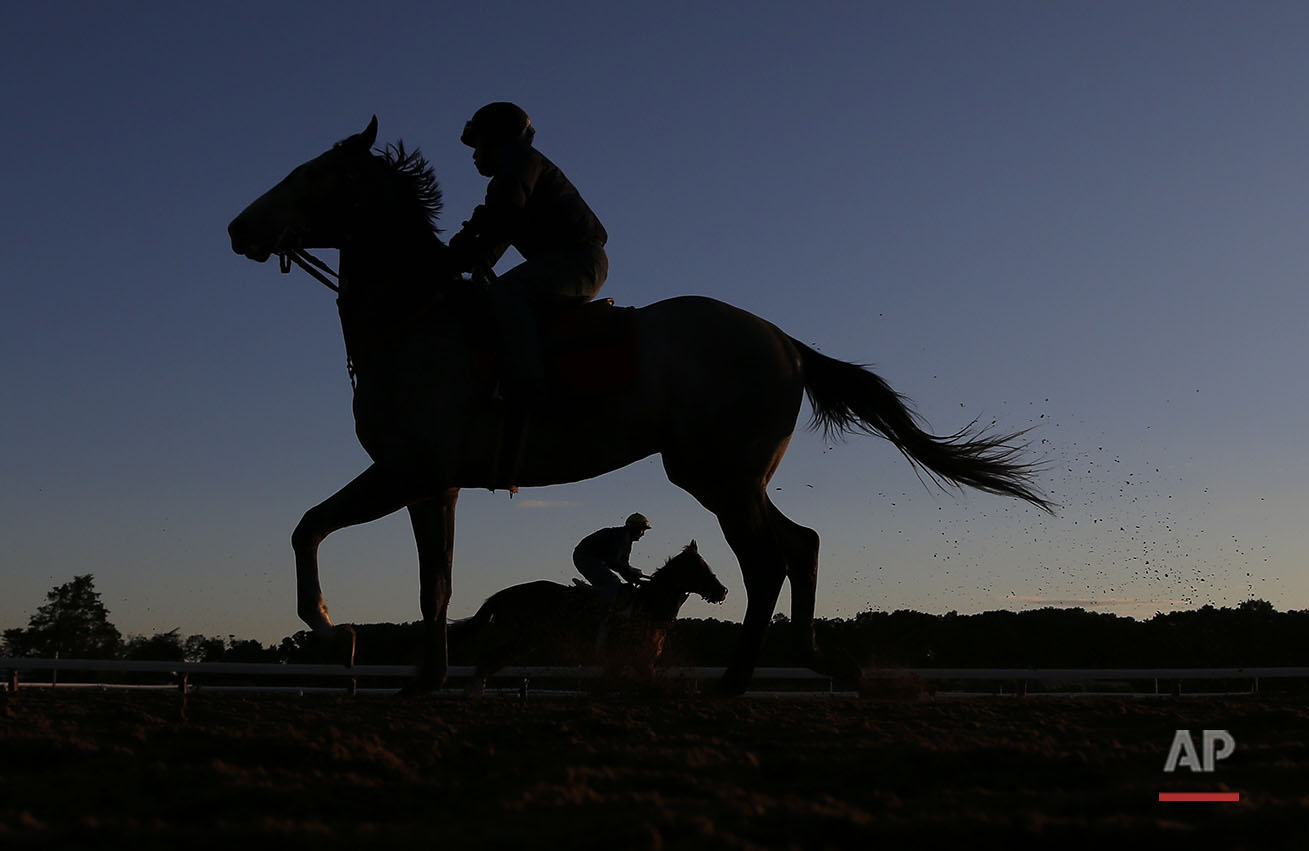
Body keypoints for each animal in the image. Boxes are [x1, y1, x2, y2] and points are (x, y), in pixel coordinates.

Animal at [452, 539, 733, 691]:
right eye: (699, 567)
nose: (723, 590)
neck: (647, 607)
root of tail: (502, 595)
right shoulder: (633, 659)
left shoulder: (631, 662)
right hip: (523, 639)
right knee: (487, 660)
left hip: (524, 642)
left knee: (488, 662)